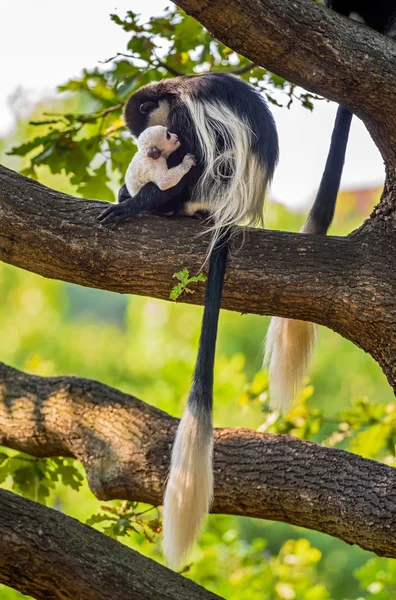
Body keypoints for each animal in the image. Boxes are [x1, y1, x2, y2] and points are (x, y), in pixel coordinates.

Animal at [98, 72, 278, 564]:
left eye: (151, 126)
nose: (155, 145)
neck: (175, 90)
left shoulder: (187, 119)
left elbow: (192, 156)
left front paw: (136, 199)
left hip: (208, 188)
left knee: (201, 170)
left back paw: (150, 204)